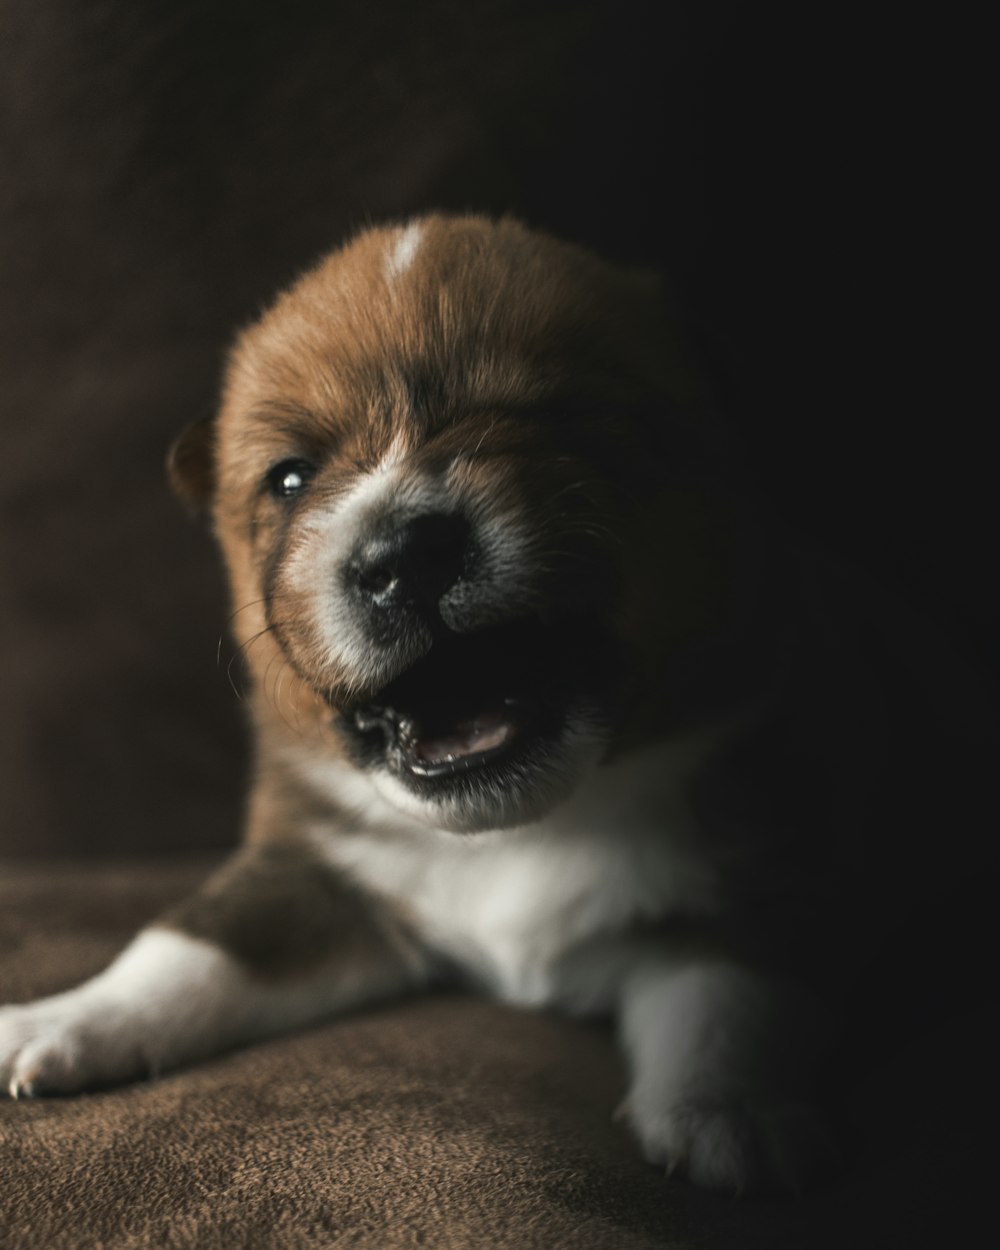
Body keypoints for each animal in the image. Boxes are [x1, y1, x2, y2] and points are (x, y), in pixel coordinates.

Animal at [0, 215, 945, 1190]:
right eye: (291, 478)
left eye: (565, 418)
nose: (402, 558)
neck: (522, 831)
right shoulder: (319, 867)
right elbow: (193, 941)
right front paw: (65, 1018)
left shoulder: (773, 845)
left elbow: (731, 990)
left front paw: (730, 1112)